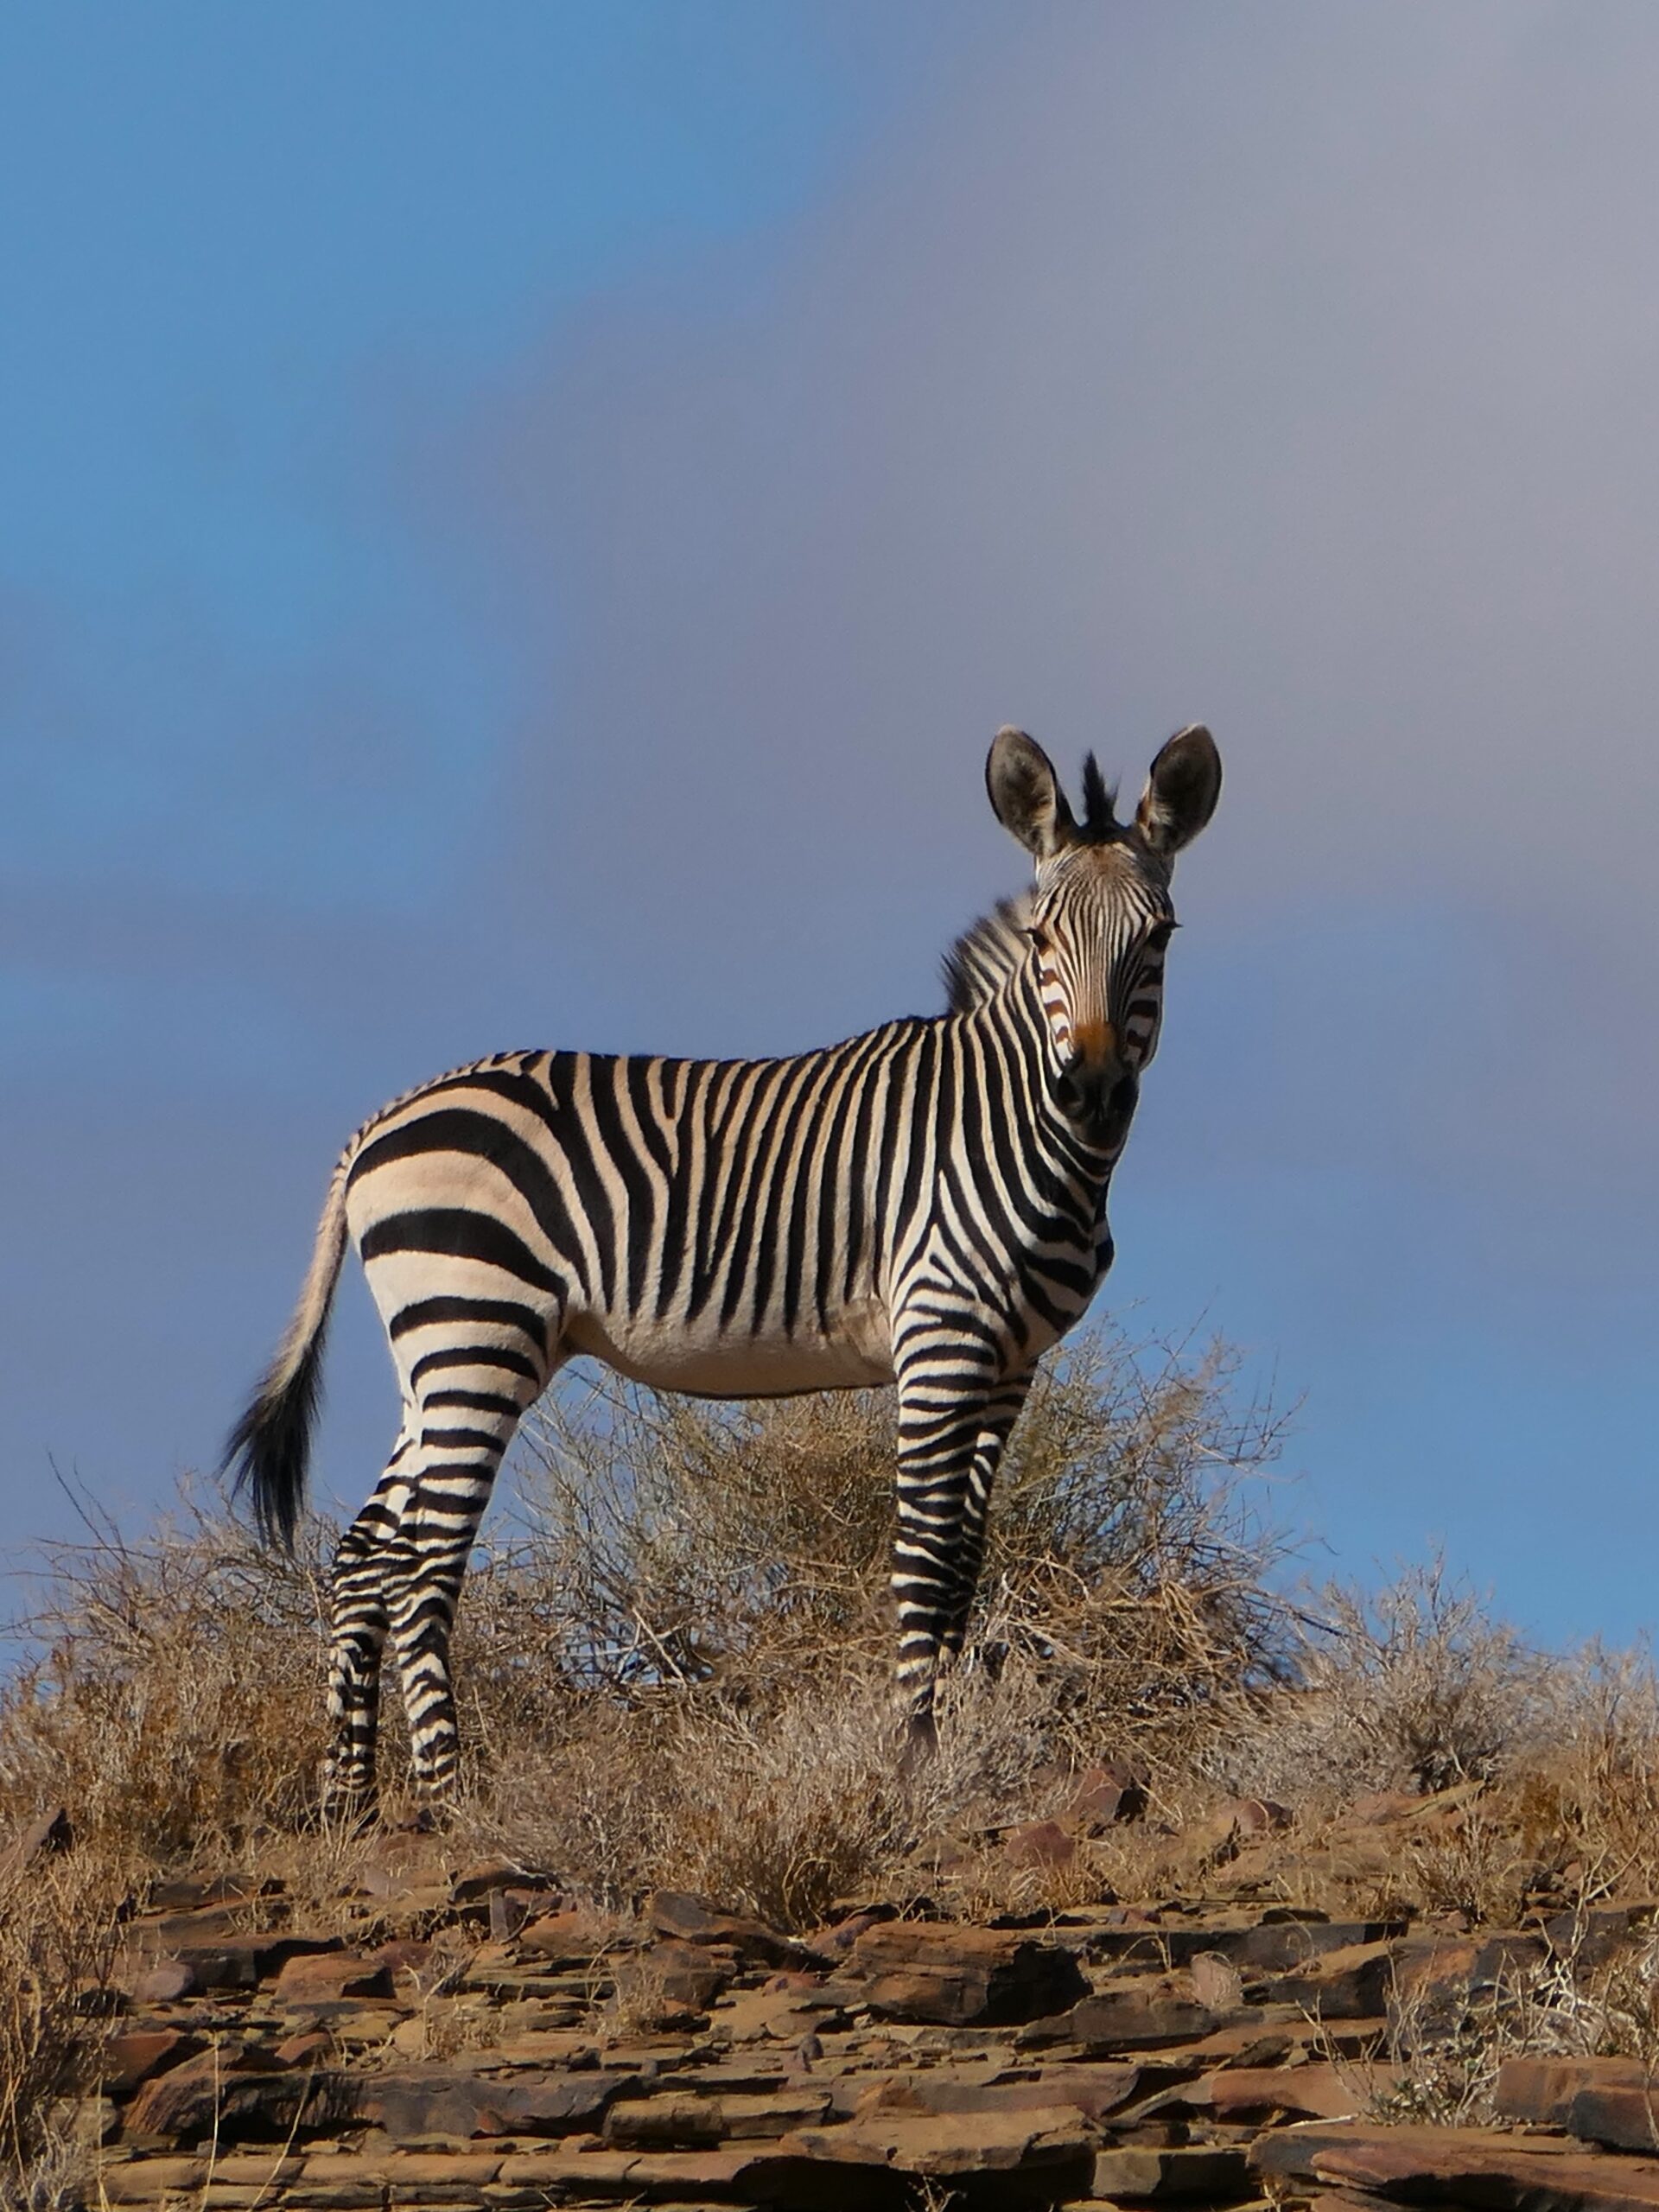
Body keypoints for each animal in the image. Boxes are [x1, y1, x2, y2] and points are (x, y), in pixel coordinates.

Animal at [225, 724, 1221, 1820]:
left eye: (1160, 938)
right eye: (1044, 941)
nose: (1092, 1093)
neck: (1015, 1128)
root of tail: (377, 1125)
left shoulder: (1010, 1365)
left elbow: (965, 1560)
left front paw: (952, 1744)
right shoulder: (941, 1339)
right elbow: (924, 1556)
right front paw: (915, 1760)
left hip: (435, 1356)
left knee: (364, 1558)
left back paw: (350, 1803)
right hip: (474, 1333)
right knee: (423, 1567)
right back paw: (450, 1801)